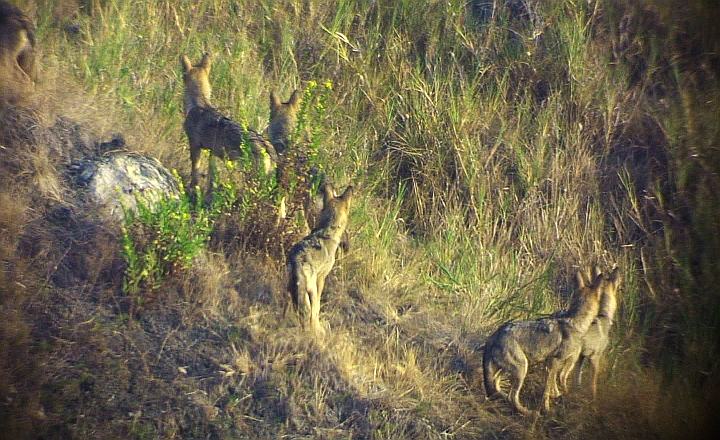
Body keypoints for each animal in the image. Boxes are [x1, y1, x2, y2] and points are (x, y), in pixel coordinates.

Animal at [180, 52, 278, 192]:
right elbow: (211, 175)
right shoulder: (212, 152)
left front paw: (193, 188)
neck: (199, 103)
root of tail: (267, 145)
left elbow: (195, 173)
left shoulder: (194, 145)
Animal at [286, 182, 354, 334]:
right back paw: (315, 330)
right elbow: (317, 308)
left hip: (290, 288)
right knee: (311, 310)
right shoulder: (321, 278)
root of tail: (297, 261)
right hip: (311, 289)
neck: (328, 230)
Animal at [480, 268, 604, 416]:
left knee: (497, 385)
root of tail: (494, 335)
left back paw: (505, 399)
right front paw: (547, 409)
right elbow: (547, 389)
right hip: (522, 368)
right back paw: (530, 412)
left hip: (509, 369)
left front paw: (557, 395)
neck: (576, 323)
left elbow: (553, 385)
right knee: (512, 396)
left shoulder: (549, 363)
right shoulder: (554, 362)